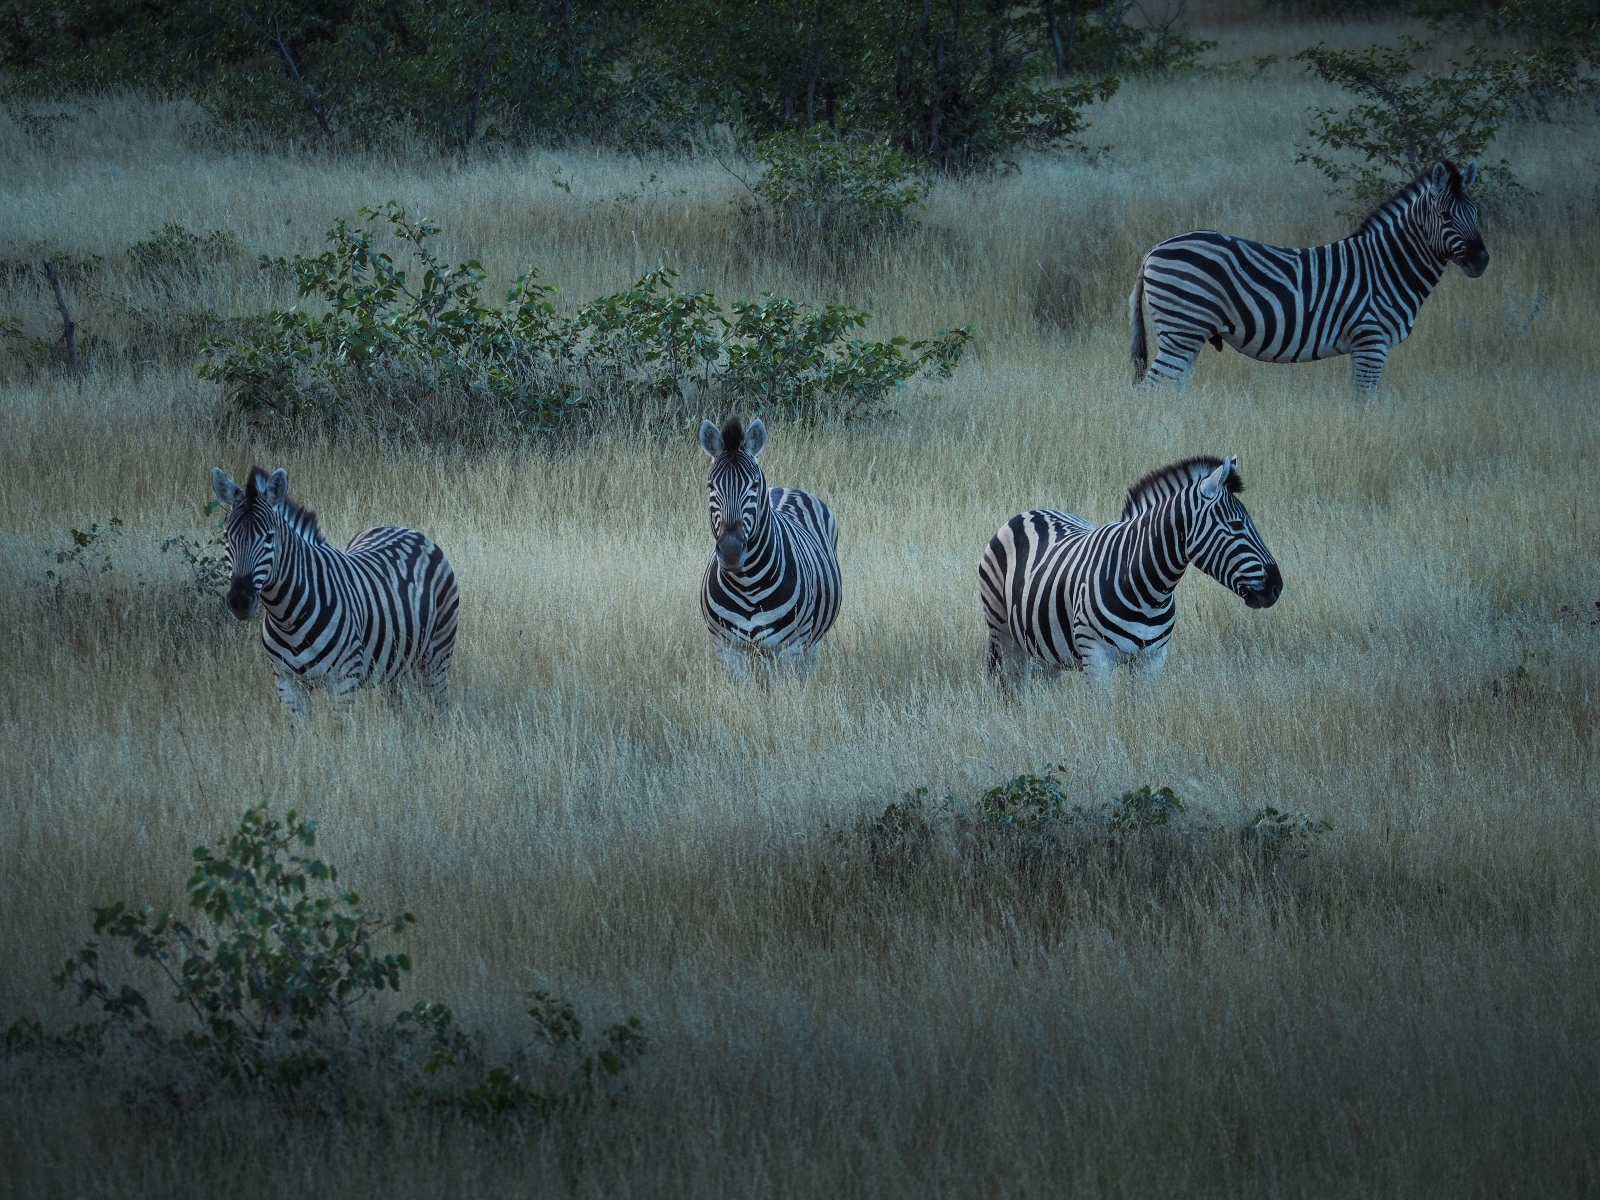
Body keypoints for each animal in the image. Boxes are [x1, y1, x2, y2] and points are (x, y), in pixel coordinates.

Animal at [211, 467, 457, 713]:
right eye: (226, 536)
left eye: (269, 537)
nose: (240, 601)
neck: (286, 618)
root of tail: (405, 529)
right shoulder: (287, 684)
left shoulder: (343, 681)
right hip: (399, 663)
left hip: (437, 656)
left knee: (440, 706)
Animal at [704, 419, 851, 672]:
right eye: (711, 486)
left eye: (754, 485)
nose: (731, 552)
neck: (747, 585)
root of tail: (786, 488)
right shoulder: (728, 650)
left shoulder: (788, 650)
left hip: (808, 643)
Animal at [979, 454, 1280, 684]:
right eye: (1237, 525)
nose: (1277, 586)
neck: (1149, 592)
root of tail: (1029, 513)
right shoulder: (1096, 658)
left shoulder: (1152, 660)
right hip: (1004, 635)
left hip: (1043, 648)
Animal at [1132, 160, 1491, 392]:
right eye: (1444, 216)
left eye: (1476, 213)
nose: (1482, 261)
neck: (1387, 266)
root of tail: (1154, 249)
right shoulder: (1371, 341)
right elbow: (1363, 403)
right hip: (1182, 329)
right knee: (1152, 391)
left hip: (1188, 335)